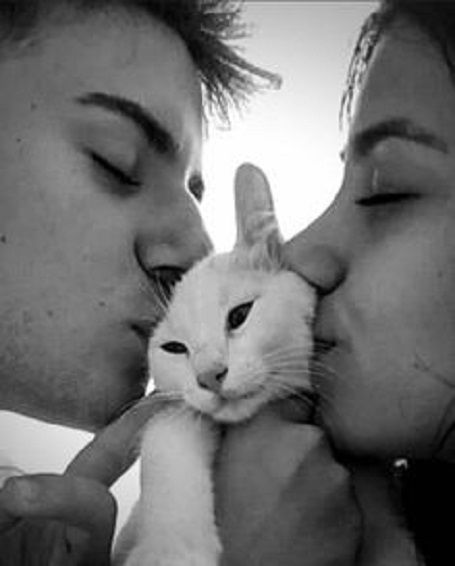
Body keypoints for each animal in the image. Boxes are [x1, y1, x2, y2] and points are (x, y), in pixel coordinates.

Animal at [114, 164, 318, 566]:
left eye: (239, 315)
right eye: (174, 348)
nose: (209, 376)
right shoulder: (179, 412)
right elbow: (167, 431)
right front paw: (171, 548)